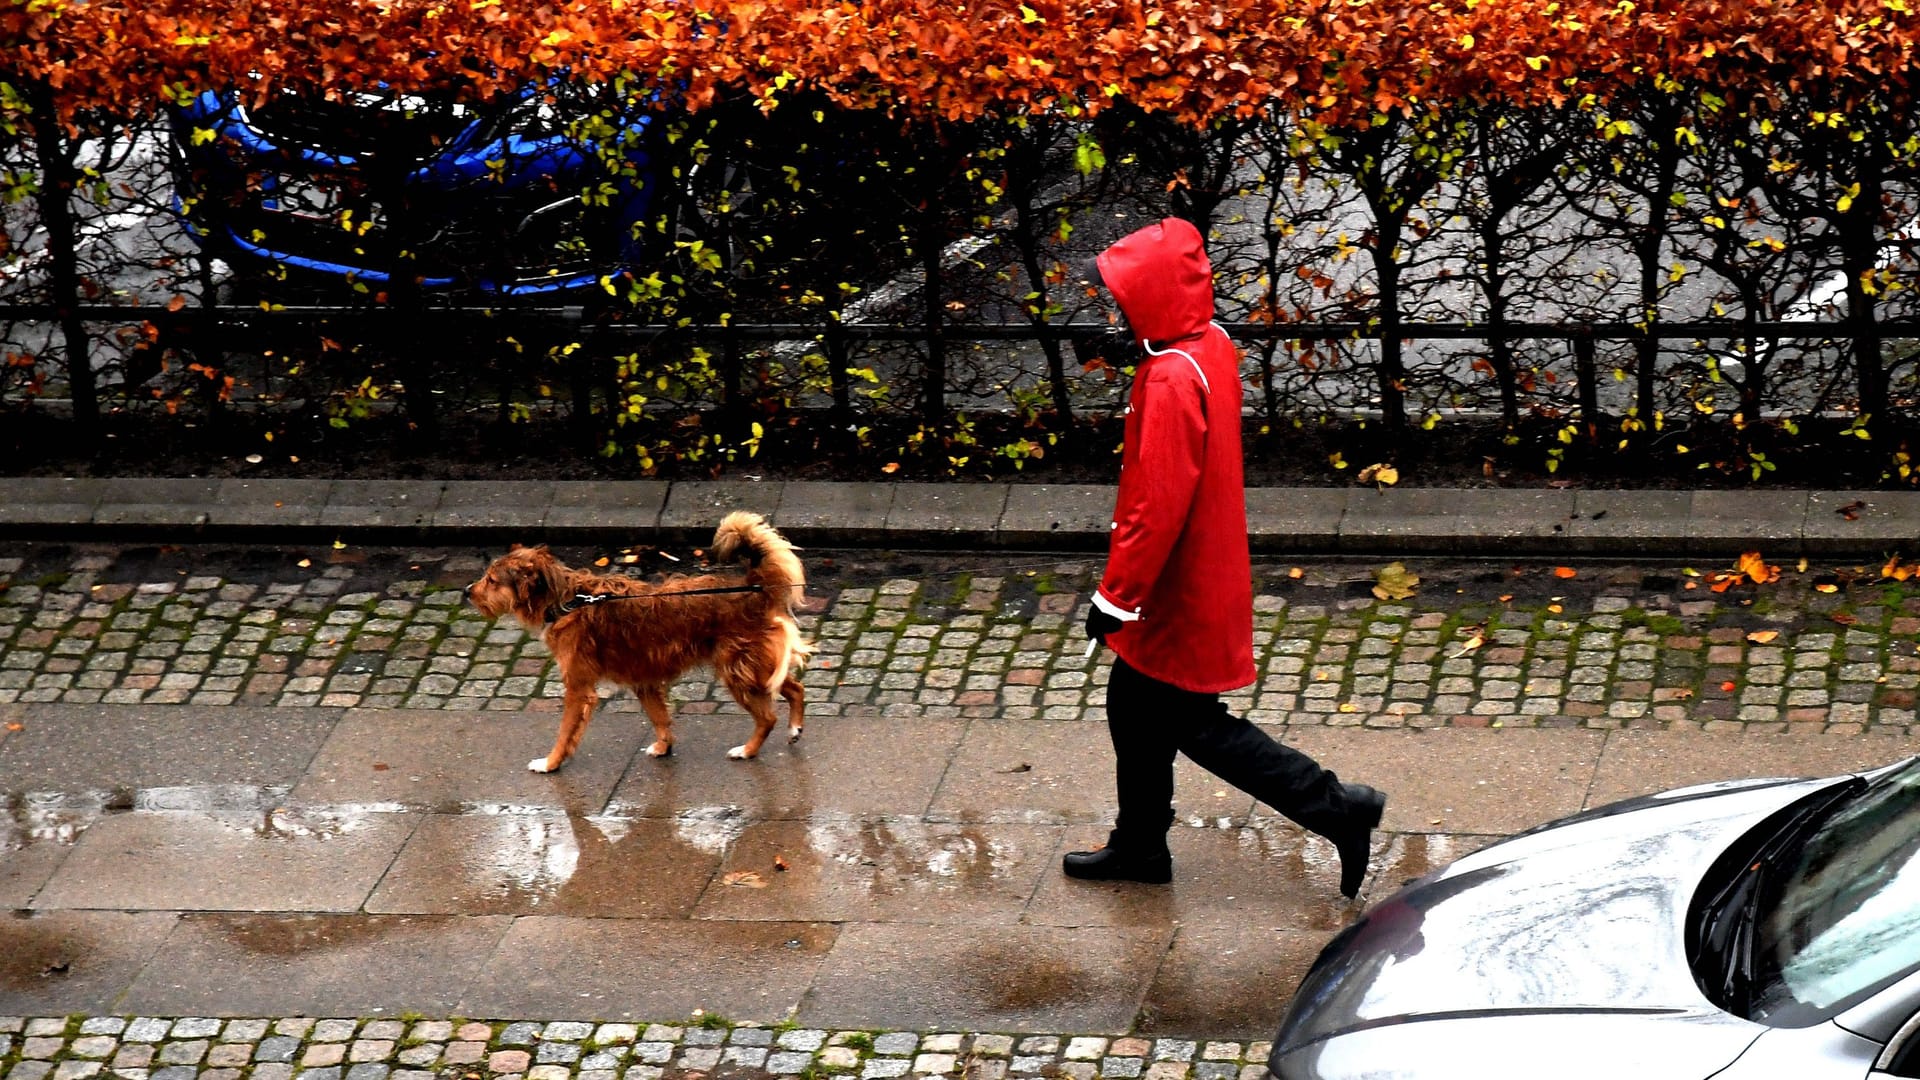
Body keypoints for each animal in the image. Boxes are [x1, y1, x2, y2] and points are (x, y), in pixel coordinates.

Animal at [472, 507, 817, 768]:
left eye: (491, 580)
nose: (466, 592)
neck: (567, 601)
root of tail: (754, 586)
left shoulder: (578, 687)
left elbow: (565, 730)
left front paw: (551, 763)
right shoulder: (644, 681)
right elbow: (660, 719)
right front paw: (664, 747)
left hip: (737, 671)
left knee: (768, 717)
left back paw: (747, 750)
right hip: (756, 668)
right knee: (795, 688)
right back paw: (794, 728)